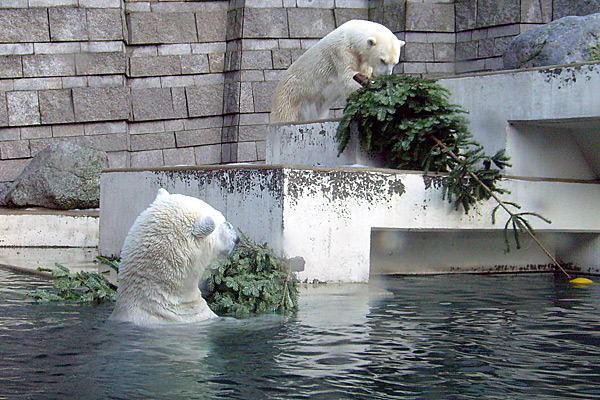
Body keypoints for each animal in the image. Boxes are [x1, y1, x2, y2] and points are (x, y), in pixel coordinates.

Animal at [270, 18, 404, 123]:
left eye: (395, 62)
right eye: (382, 60)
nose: (386, 76)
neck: (351, 36)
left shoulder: (363, 60)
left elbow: (362, 73)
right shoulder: (340, 52)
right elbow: (348, 76)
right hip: (290, 98)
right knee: (285, 116)